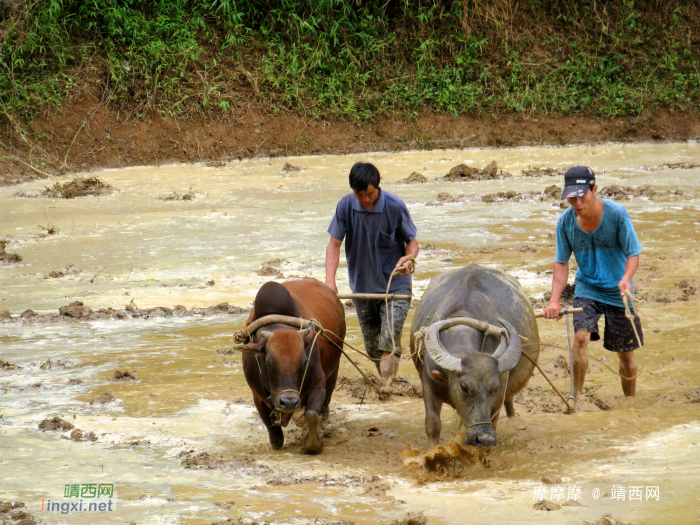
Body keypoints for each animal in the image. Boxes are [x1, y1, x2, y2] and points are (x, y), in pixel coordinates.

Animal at [410, 264, 540, 448]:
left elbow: (493, 420)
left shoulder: (499, 393)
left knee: (509, 403)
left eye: (495, 387)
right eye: (464, 387)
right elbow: (433, 425)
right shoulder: (428, 383)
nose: (483, 438)